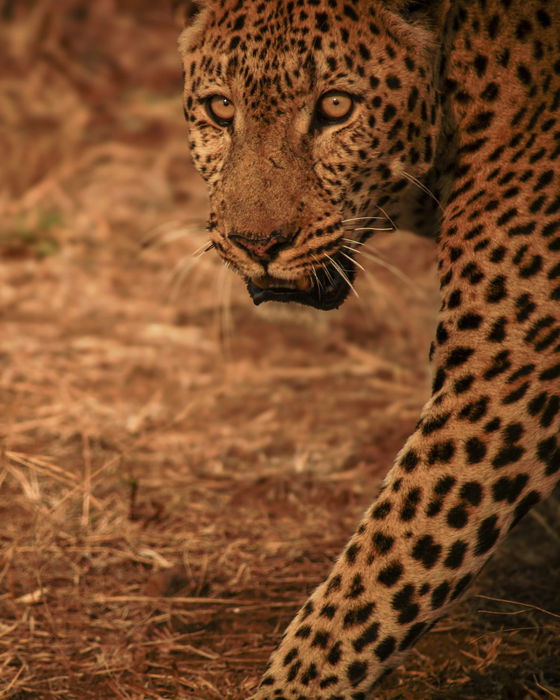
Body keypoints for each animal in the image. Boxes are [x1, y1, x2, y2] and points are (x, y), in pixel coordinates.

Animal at [179, 2, 560, 696]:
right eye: (221, 108)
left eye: (336, 106)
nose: (257, 243)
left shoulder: (508, 372)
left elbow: (381, 568)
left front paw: (289, 687)